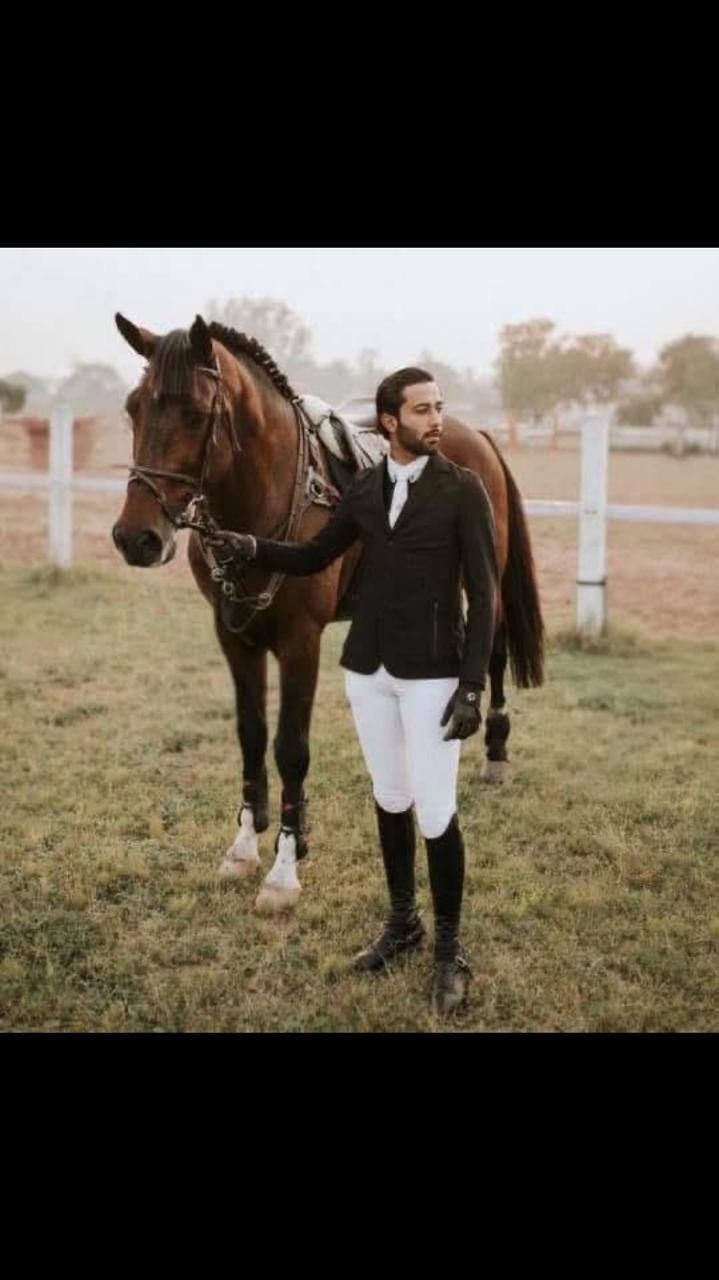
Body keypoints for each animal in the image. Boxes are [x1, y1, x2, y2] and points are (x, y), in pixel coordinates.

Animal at [111, 313, 544, 912]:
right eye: (134, 408)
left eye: (196, 413)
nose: (136, 538)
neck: (265, 494)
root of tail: (472, 434)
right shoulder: (233, 635)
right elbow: (251, 735)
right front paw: (245, 845)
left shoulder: (302, 641)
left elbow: (291, 748)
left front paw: (285, 868)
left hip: (486, 575)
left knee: (494, 648)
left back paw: (496, 749)